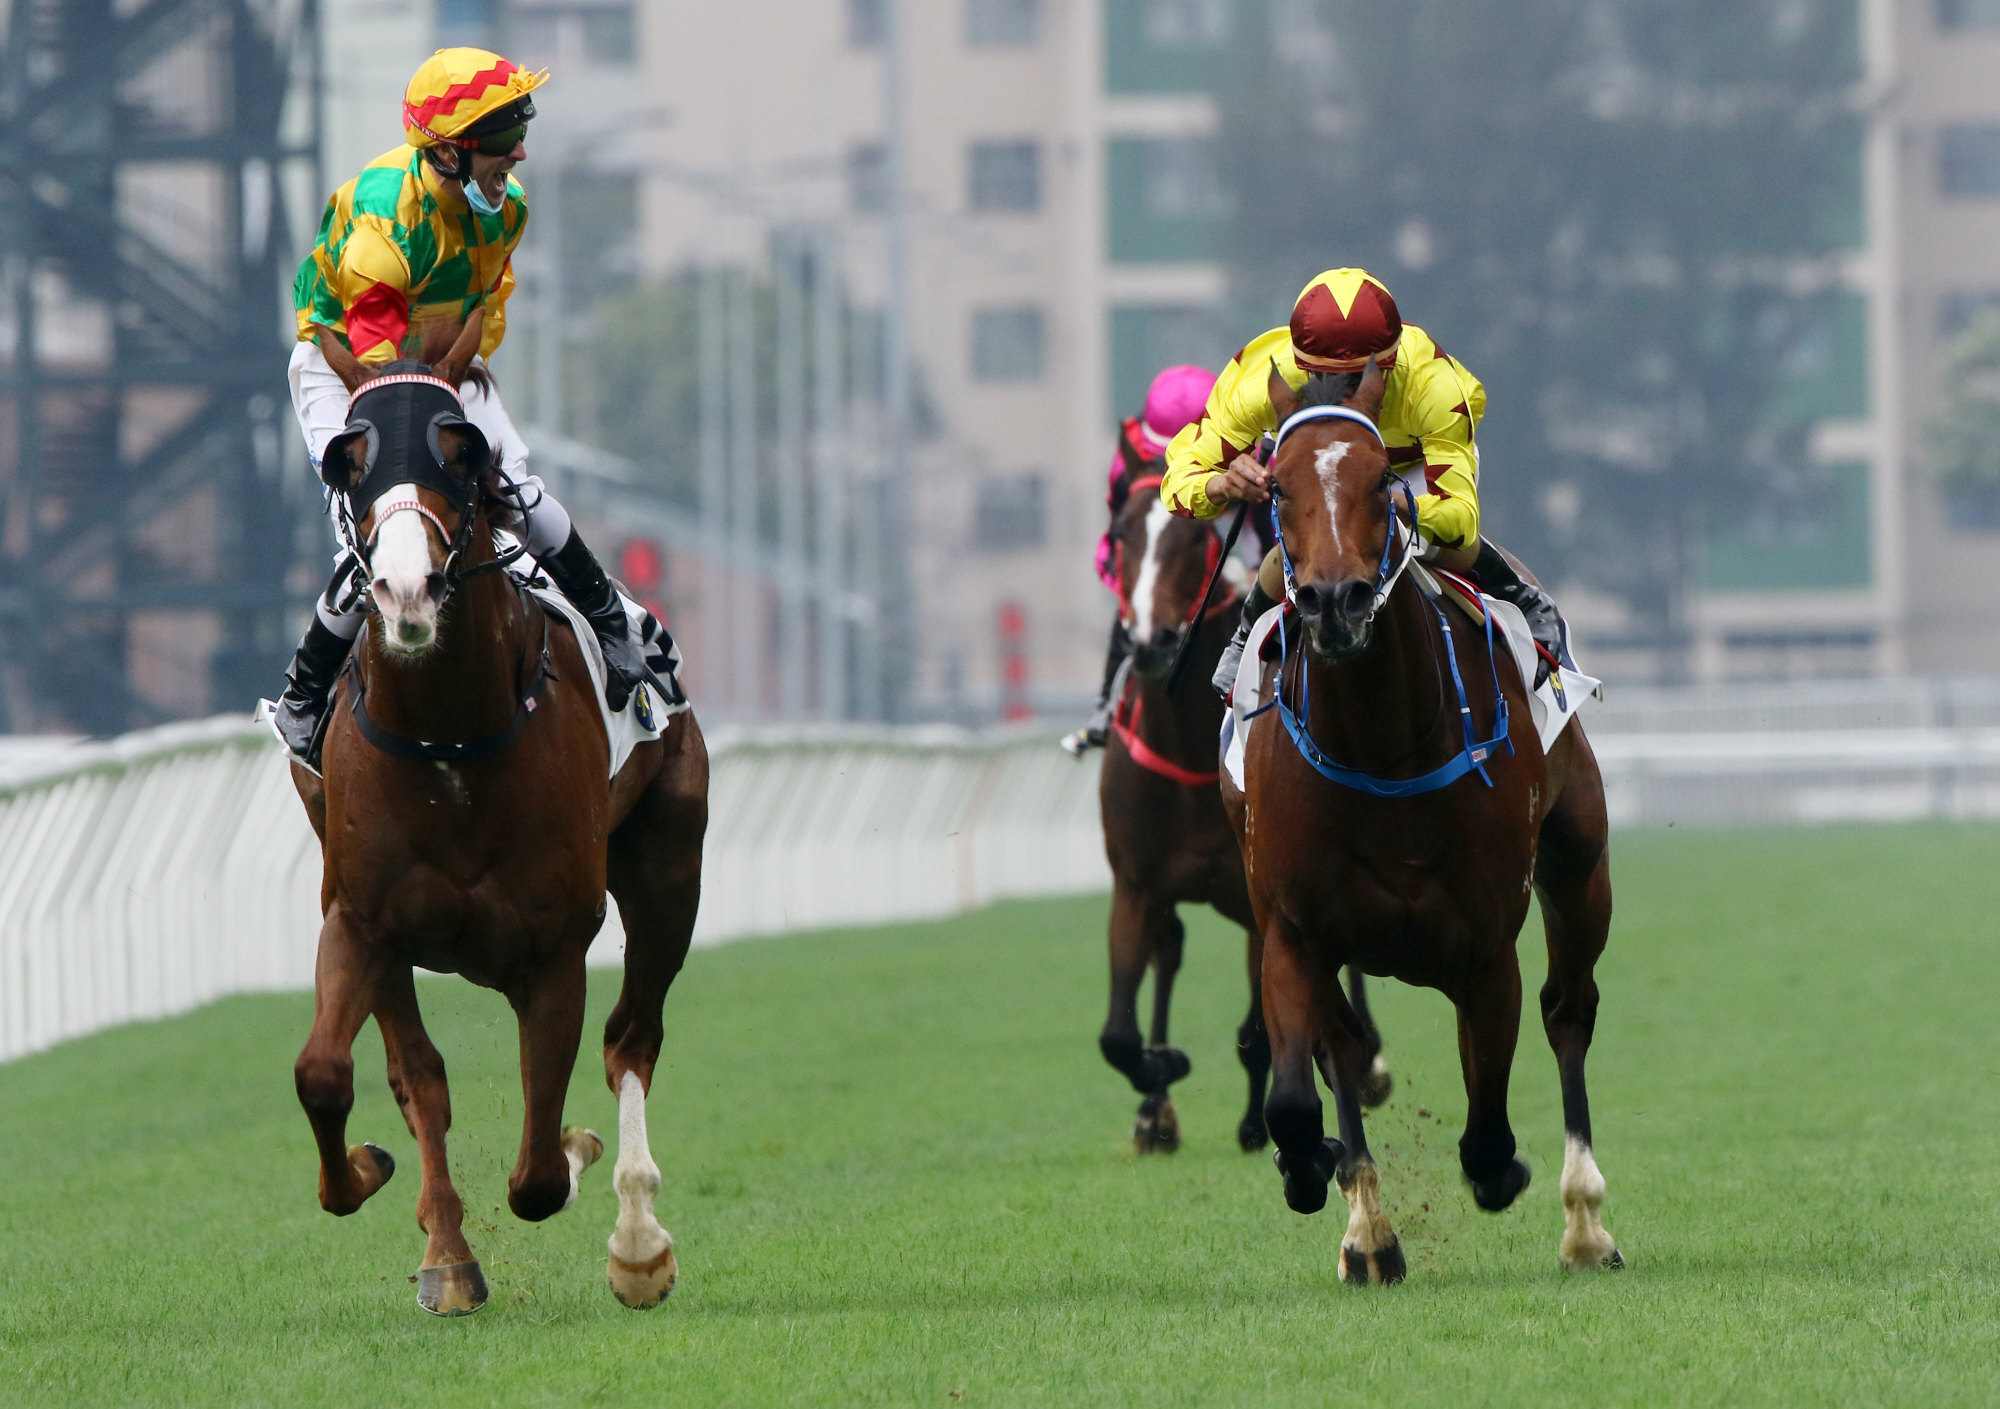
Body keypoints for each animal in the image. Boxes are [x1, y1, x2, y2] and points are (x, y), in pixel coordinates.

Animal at [290, 346, 708, 1312]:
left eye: (462, 454)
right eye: (347, 460)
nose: (406, 590)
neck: (451, 738)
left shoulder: (553, 946)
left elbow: (540, 1173)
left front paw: (584, 1158)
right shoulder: (361, 919)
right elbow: (331, 1074)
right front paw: (372, 1179)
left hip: (670, 865)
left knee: (633, 1037)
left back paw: (638, 1242)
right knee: (418, 1074)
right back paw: (447, 1249)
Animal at [1096, 452, 1392, 1152]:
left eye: (1194, 541)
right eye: (1120, 535)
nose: (1149, 643)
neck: (1188, 752)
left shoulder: (1267, 903)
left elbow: (1259, 1032)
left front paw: (1262, 1123)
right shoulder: (1135, 885)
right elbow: (1118, 1035)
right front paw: (1161, 1071)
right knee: (1170, 952)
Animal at [1224, 358, 1616, 1280]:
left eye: (1379, 482)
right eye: (1276, 486)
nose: (1333, 601)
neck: (1384, 744)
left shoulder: (1485, 944)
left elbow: (1490, 1131)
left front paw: (1512, 1173)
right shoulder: (1292, 928)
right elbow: (1298, 1094)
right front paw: (1315, 1172)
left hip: (1580, 865)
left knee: (1568, 1010)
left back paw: (1587, 1223)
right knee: (1337, 1047)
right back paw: (1367, 1231)